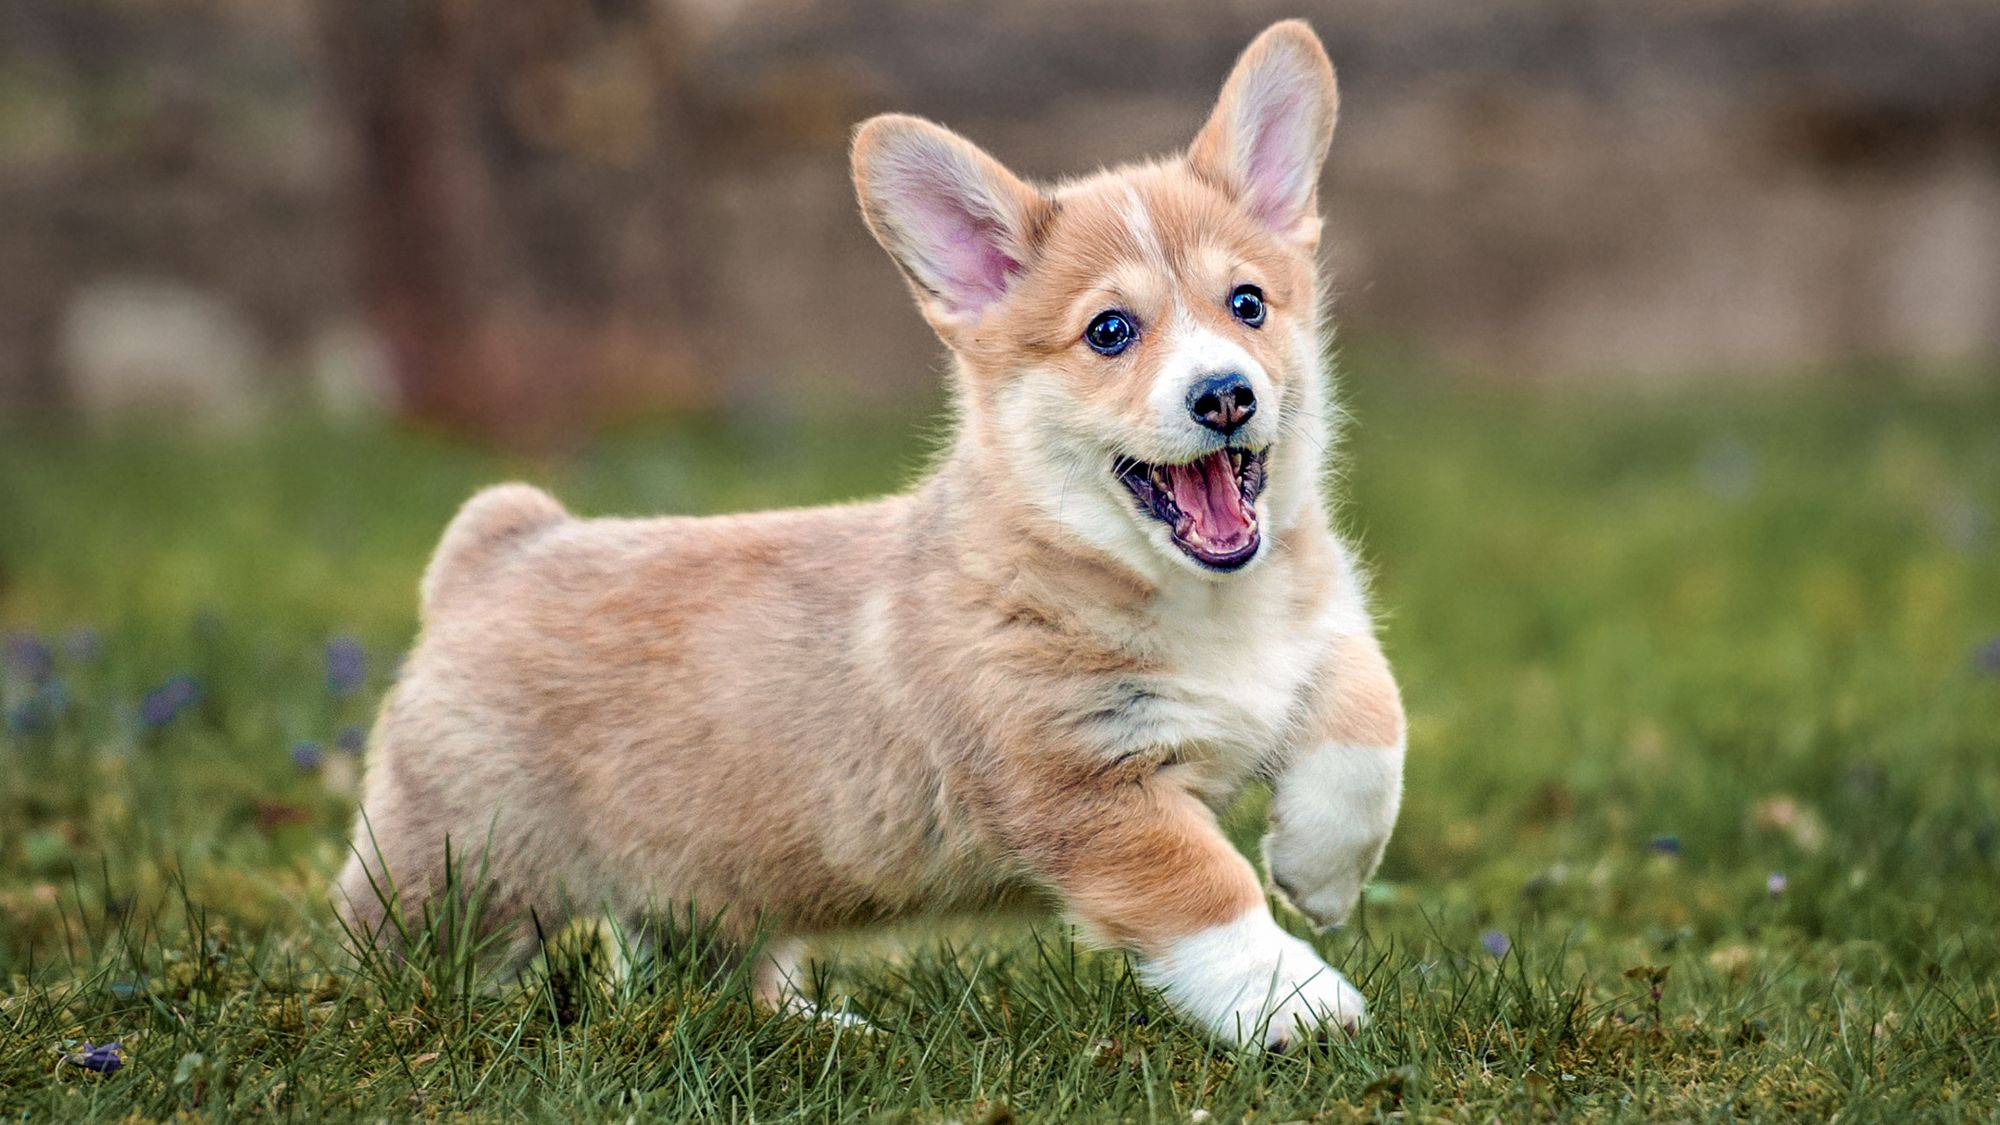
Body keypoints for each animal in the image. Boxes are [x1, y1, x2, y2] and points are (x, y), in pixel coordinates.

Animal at [340, 19, 1408, 1048]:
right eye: (1110, 331)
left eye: (1248, 304)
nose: (1225, 394)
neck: (1202, 601)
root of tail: (503, 547)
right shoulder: (1088, 787)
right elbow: (1205, 890)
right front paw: (1294, 1000)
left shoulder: (1322, 639)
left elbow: (1370, 725)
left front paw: (1319, 872)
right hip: (464, 864)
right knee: (394, 945)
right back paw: (385, 1020)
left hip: (705, 869)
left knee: (704, 971)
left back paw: (819, 1028)